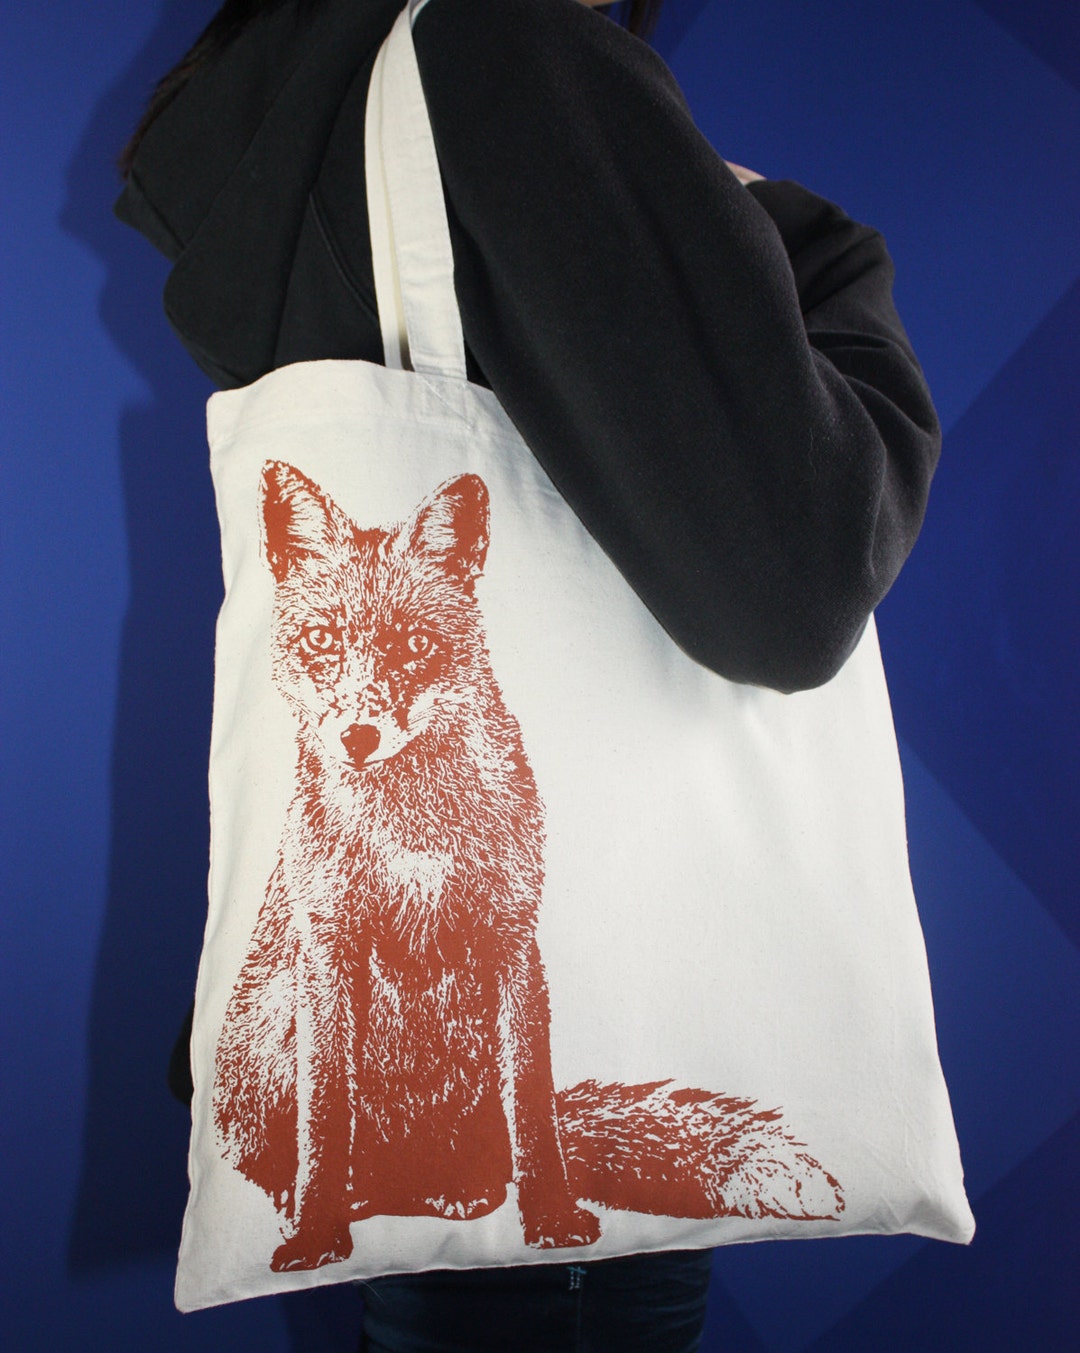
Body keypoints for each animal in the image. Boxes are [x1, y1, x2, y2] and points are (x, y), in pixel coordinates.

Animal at [211, 460, 844, 1274]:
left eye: (415, 644)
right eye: (321, 640)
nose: (358, 735)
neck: (415, 839)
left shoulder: (513, 937)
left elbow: (536, 1114)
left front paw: (552, 1216)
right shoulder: (328, 948)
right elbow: (324, 1118)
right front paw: (317, 1234)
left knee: (487, 1151)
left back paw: (456, 1190)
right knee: (311, 1161)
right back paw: (337, 1198)